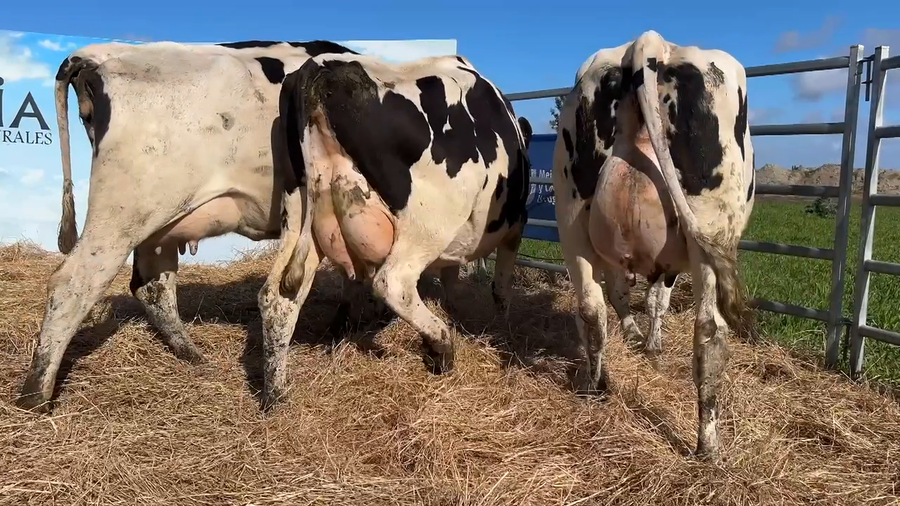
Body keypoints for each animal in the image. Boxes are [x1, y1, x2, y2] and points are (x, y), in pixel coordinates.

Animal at [13, 39, 381, 413]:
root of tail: (99, 53)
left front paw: (344, 326)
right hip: (122, 213)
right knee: (72, 284)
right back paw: (35, 395)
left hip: (158, 221)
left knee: (152, 284)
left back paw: (191, 353)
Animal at [257, 52, 534, 409]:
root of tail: (321, 66)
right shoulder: (517, 224)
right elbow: (500, 288)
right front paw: (501, 325)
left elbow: (451, 278)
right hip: (427, 223)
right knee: (393, 284)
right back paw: (441, 347)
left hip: (298, 214)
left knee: (277, 298)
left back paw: (275, 395)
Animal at [551, 30, 757, 461]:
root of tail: (650, 44)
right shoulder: (672, 264)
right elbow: (657, 300)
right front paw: (652, 342)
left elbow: (623, 295)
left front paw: (636, 336)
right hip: (709, 232)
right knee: (710, 333)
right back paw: (708, 446)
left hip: (571, 216)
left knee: (592, 309)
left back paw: (596, 387)